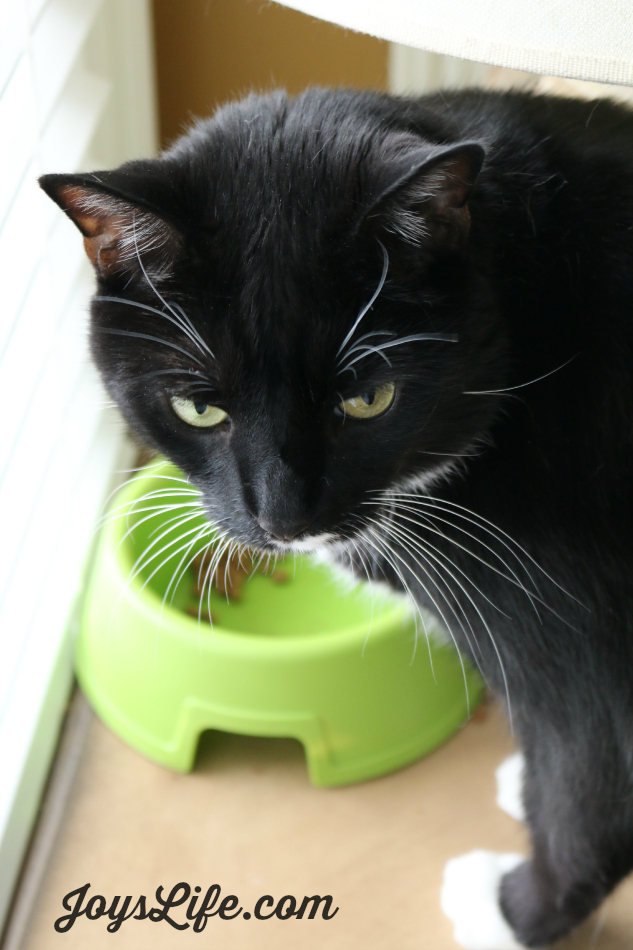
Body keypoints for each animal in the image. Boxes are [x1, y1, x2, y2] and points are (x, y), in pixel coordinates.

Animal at [40, 87, 632, 944]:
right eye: (198, 408)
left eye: (368, 399)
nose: (284, 520)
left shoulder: (583, 644)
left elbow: (587, 795)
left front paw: (509, 912)